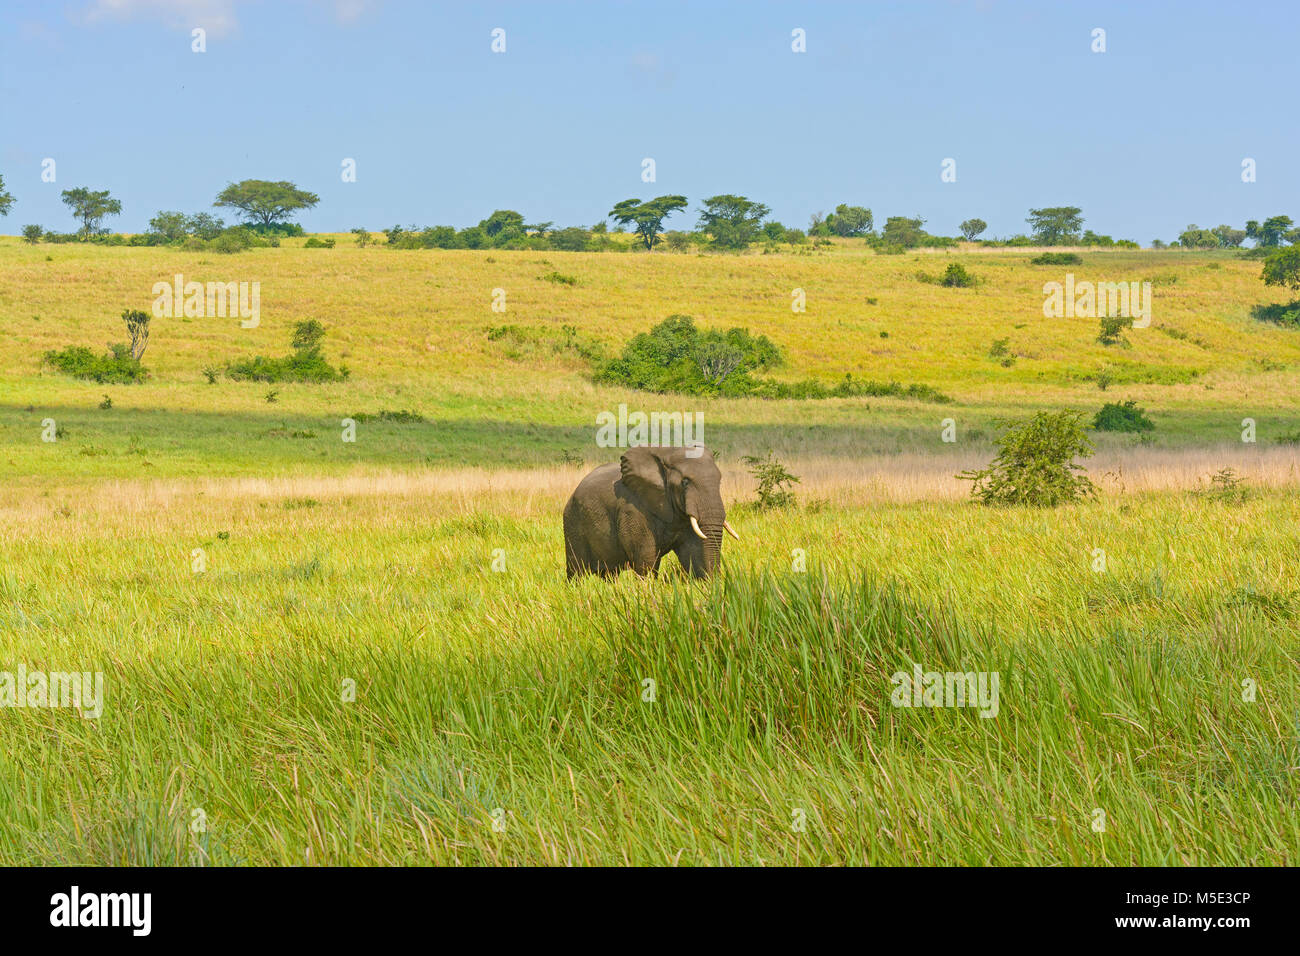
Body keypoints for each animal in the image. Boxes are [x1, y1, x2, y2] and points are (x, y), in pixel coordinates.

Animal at [563, 445, 739, 579]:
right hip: (573, 522)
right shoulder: (633, 510)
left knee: (610, 573)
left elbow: (692, 553)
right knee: (576, 572)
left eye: (720, 481)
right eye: (685, 482)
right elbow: (646, 559)